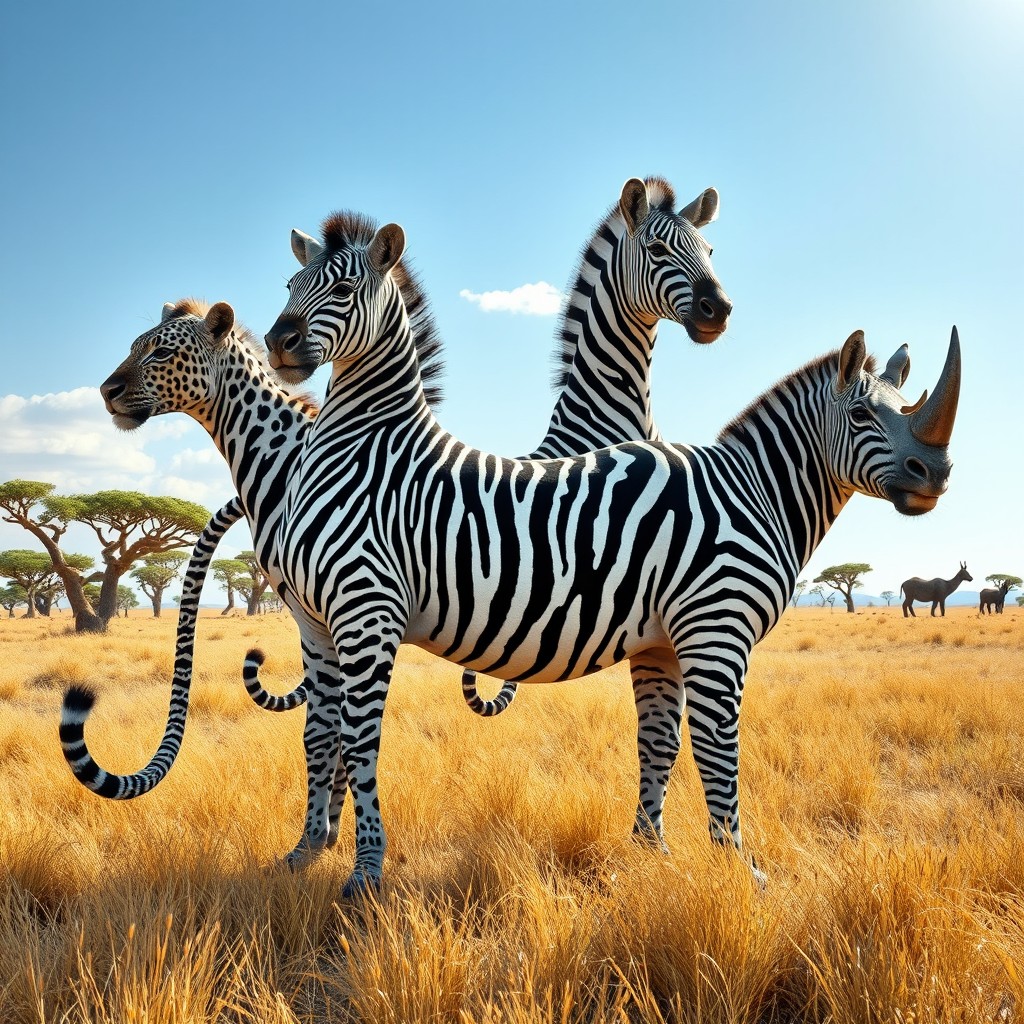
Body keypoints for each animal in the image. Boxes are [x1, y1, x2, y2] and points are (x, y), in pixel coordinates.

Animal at [259, 212, 960, 895]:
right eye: (865, 415)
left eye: (343, 289)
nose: (938, 472)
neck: (755, 488)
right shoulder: (717, 632)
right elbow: (718, 752)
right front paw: (741, 871)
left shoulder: (666, 642)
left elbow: (662, 745)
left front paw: (655, 856)